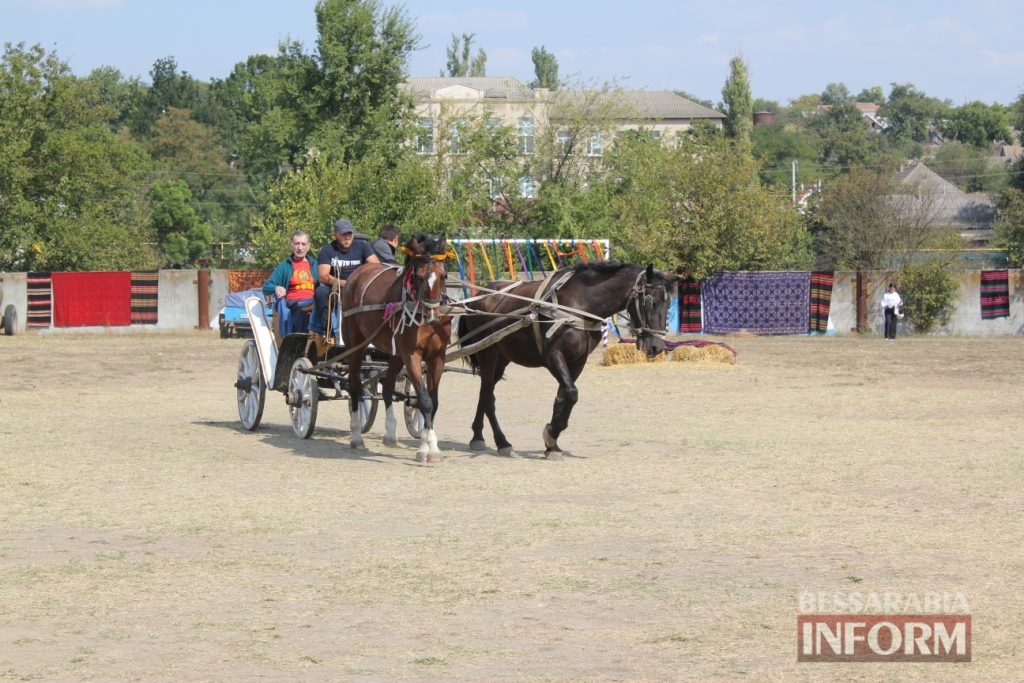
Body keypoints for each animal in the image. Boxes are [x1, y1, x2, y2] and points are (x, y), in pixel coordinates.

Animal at [342, 235, 450, 464]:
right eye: (418, 276)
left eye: (444, 275)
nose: (433, 317)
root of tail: (357, 273)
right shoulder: (412, 356)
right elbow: (425, 401)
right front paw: (429, 448)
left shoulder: (437, 357)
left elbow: (433, 401)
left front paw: (427, 446)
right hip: (355, 345)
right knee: (355, 386)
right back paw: (356, 436)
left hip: (395, 355)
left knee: (388, 386)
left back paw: (390, 434)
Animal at [460, 262, 675, 458]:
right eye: (651, 302)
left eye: (669, 305)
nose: (657, 347)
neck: (579, 304)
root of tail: (476, 298)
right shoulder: (553, 357)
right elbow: (572, 393)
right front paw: (551, 434)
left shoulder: (578, 361)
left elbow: (562, 398)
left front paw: (552, 444)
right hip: (487, 354)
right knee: (488, 397)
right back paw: (502, 442)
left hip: (501, 359)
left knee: (484, 392)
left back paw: (477, 437)